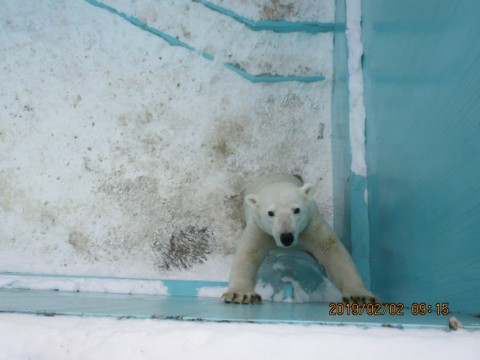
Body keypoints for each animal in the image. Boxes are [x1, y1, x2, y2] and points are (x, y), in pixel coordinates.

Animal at [223, 174, 376, 304]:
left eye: (296, 210)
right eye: (270, 213)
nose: (286, 237)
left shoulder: (310, 224)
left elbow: (331, 250)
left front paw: (359, 296)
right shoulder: (260, 228)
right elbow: (249, 253)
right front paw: (240, 294)